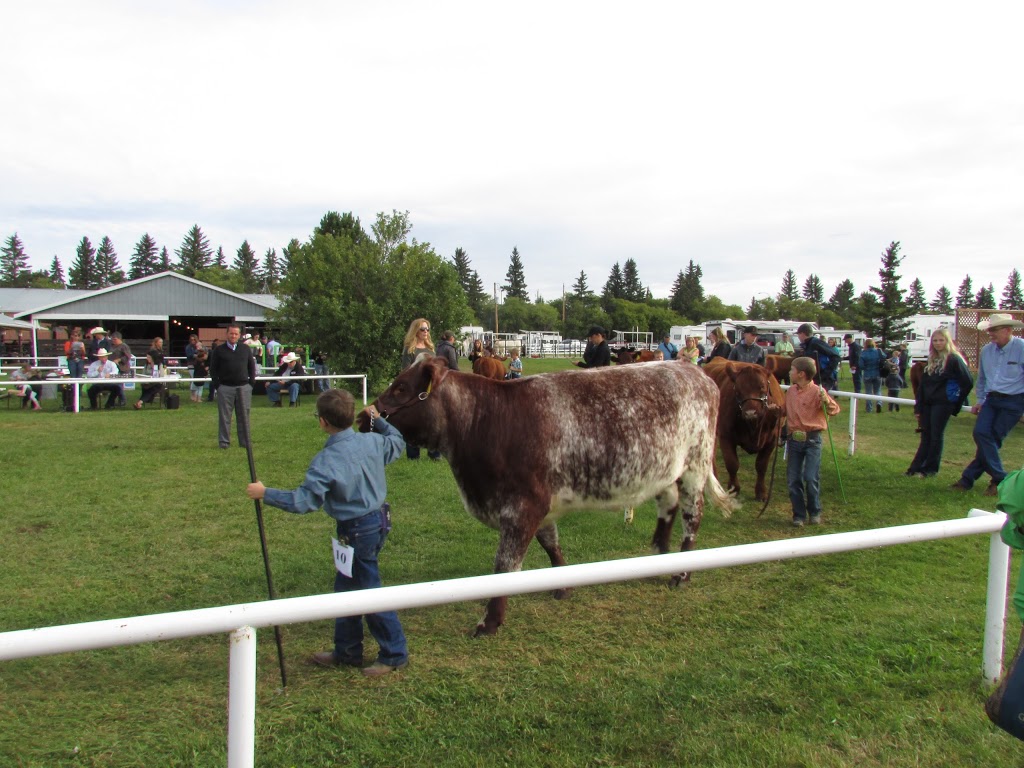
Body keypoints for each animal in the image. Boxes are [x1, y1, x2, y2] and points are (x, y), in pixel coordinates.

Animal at [360, 358, 737, 634]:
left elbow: (505, 565)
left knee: (692, 516)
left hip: (696, 464)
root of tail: (696, 371)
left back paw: (682, 573)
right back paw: (659, 555)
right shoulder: (538, 506)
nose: (364, 416)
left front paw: (489, 622)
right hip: (665, 470)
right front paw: (561, 586)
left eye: (401, 387)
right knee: (667, 505)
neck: (487, 420)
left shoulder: (522, 506)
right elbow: (550, 543)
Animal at [704, 358, 782, 501]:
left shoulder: (772, 440)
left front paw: (761, 492)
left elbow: (762, 466)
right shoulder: (726, 436)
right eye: (737, 390)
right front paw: (734, 489)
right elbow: (732, 464)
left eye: (762, 387)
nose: (751, 413)